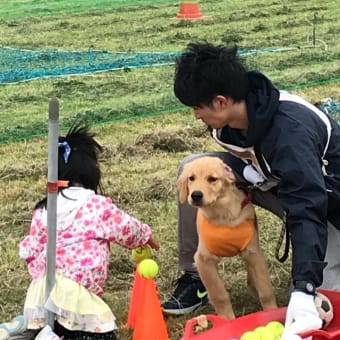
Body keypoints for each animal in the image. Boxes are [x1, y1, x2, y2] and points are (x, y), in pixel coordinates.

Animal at [177, 157, 278, 318]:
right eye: (191, 178)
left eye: (212, 179)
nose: (196, 195)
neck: (223, 216)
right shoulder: (204, 259)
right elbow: (219, 295)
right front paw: (228, 319)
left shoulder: (253, 252)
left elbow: (265, 289)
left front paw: (272, 312)